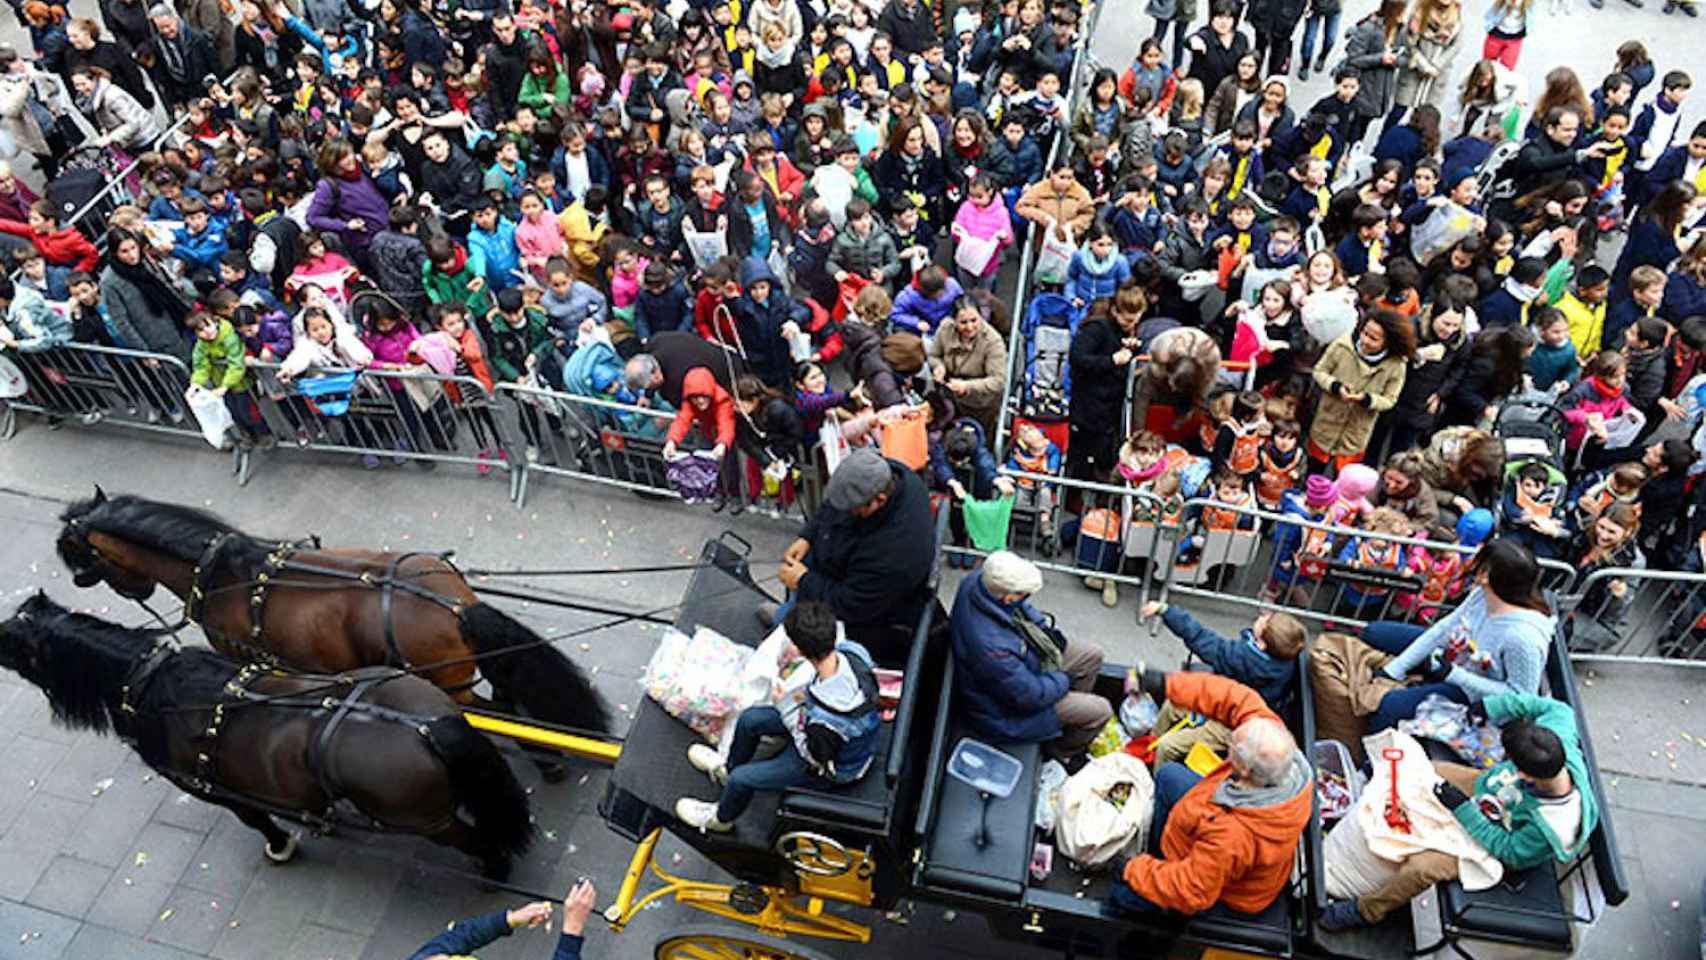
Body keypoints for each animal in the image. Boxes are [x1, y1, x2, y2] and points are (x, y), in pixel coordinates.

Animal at [0, 593, 532, 879]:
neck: (153, 684)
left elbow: (256, 820)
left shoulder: (219, 790)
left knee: (480, 842)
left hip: (430, 821)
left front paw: (280, 845)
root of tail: (427, 726)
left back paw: (495, 871)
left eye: (13, 642)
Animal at [55, 491, 614, 740]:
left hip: (451, 684)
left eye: (80, 555)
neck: (225, 574)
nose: (82, 581)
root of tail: (457, 606)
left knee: (495, 709)